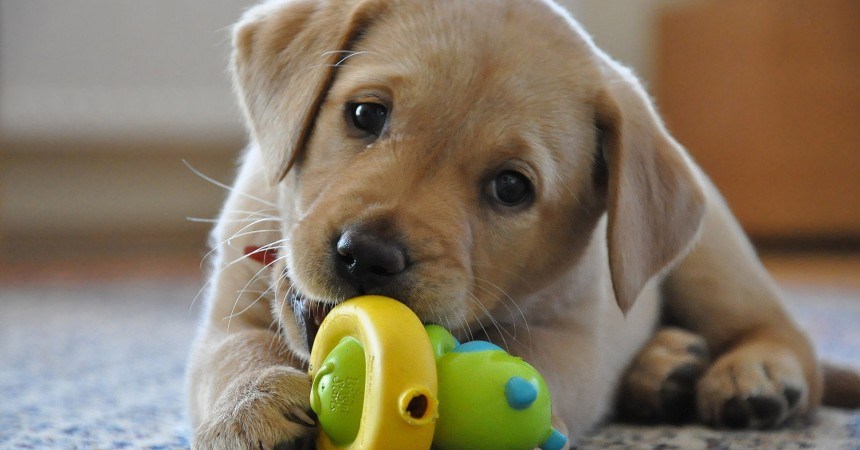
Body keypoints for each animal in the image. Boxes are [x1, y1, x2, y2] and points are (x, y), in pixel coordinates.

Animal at [183, 0, 852, 448]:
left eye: (511, 187)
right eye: (366, 114)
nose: (367, 255)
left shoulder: (573, 338)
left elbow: (535, 365)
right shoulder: (230, 306)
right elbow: (235, 353)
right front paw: (251, 408)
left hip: (714, 261)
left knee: (787, 337)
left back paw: (753, 374)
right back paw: (665, 368)